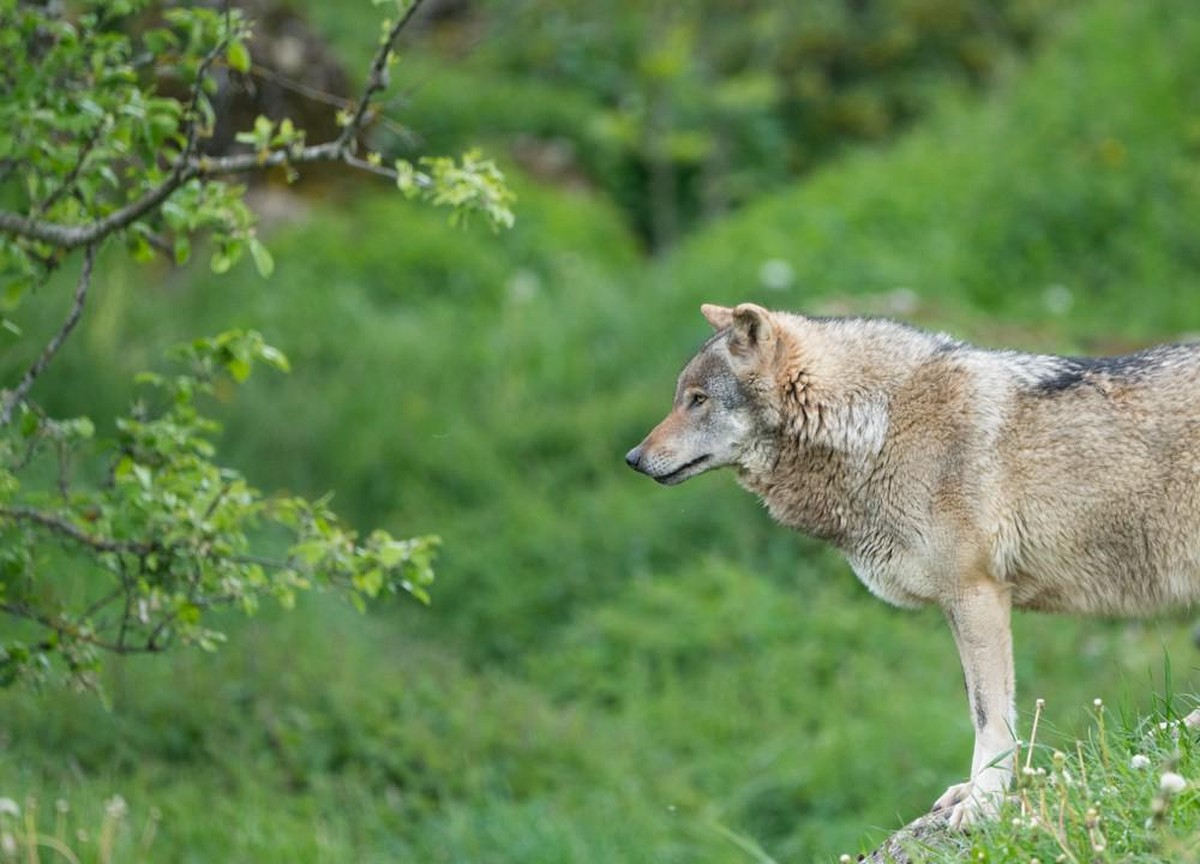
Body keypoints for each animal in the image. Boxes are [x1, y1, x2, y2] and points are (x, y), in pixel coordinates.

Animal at [625, 302, 1200, 828]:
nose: (633, 458)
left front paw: (985, 802)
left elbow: (990, 714)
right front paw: (973, 790)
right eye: (682, 398)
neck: (879, 425)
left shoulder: (977, 594)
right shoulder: (958, 605)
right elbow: (978, 707)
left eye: (698, 400)